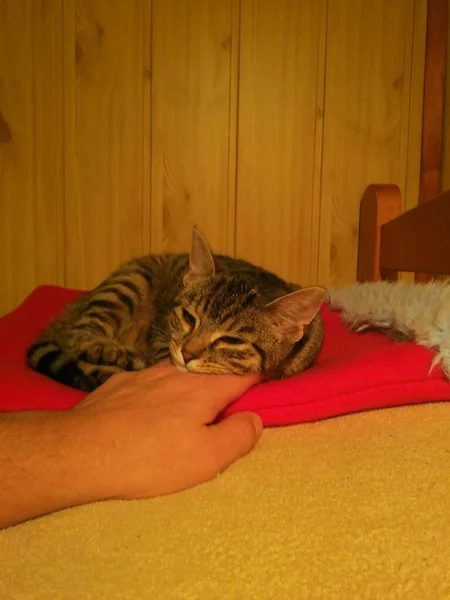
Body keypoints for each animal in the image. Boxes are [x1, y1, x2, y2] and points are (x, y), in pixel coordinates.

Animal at [26, 227, 326, 392]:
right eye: (189, 318)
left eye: (231, 340)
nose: (187, 354)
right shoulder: (161, 332)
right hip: (130, 282)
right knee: (78, 335)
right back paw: (115, 355)